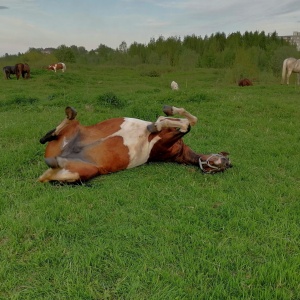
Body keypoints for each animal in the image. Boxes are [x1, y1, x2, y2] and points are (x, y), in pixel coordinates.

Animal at [38, 105, 232, 183]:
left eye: (221, 168)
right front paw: (164, 115)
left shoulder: (163, 144)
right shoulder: (167, 135)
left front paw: (158, 122)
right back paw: (69, 114)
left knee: (46, 176)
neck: (180, 152)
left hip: (83, 171)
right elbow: (188, 120)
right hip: (75, 129)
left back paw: (55, 162)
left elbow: (186, 124)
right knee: (51, 135)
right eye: (223, 159)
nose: (225, 162)